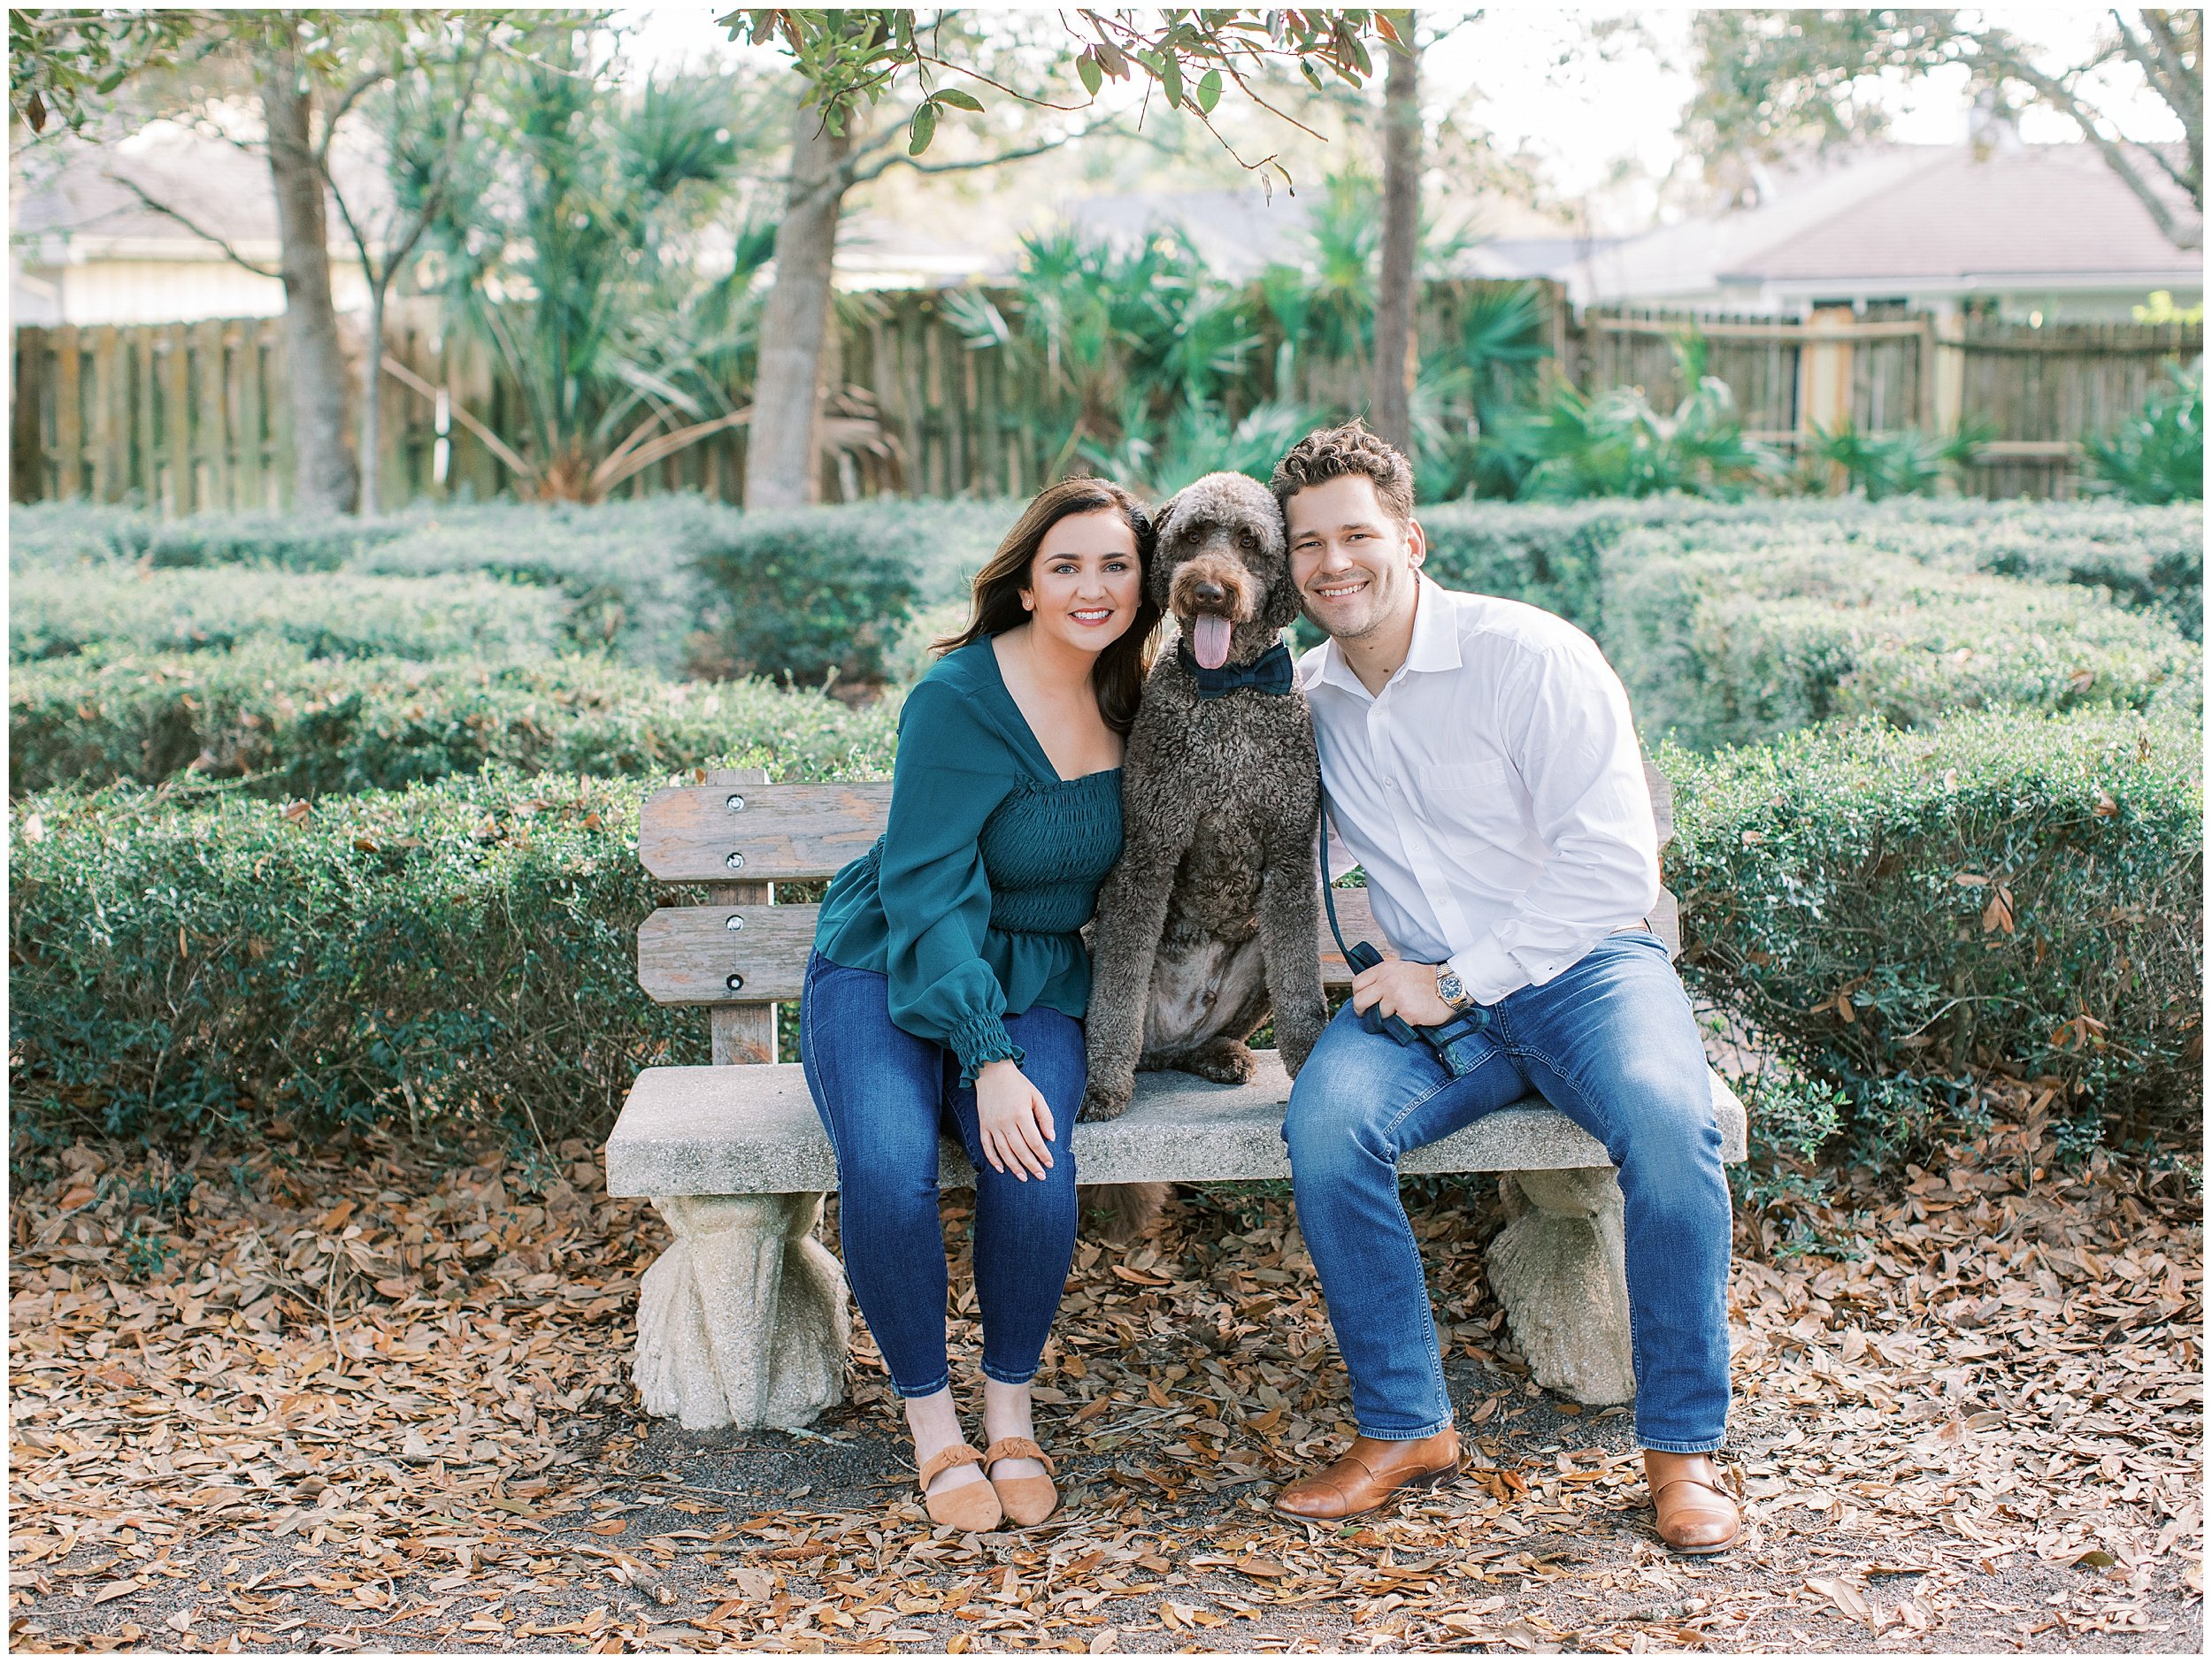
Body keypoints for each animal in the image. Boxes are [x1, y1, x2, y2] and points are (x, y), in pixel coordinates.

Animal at [1075, 469, 1318, 1238]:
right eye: (1188, 536)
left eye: (1248, 539)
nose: (1208, 590)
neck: (1229, 691)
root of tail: (1171, 1043)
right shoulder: (1148, 852)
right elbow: (1114, 997)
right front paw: (1101, 1087)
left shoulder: (1291, 866)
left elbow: (1305, 999)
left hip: (1259, 958)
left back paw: (1218, 1056)